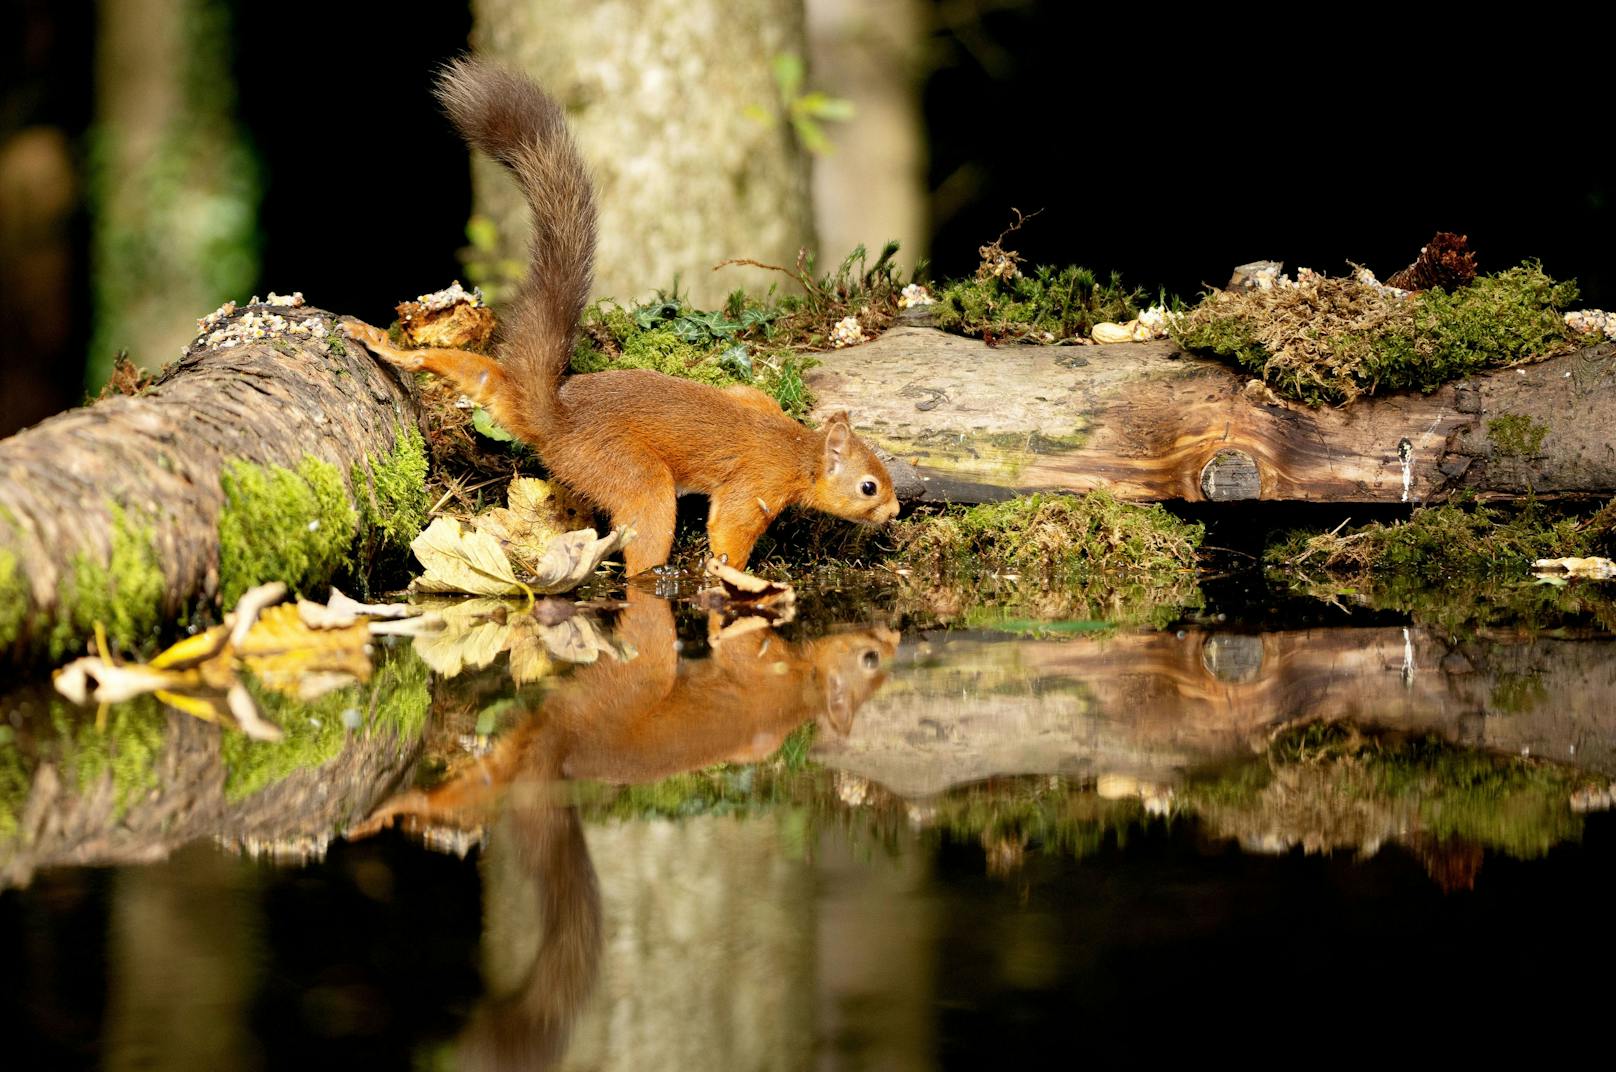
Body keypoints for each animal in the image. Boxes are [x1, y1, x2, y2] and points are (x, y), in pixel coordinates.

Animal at [345, 59, 898, 575]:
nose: (893, 512)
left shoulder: (757, 404)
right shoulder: (756, 483)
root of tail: (556, 422)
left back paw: (383, 344)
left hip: (500, 390)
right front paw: (735, 578)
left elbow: (745, 392)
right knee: (642, 543)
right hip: (635, 478)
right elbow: (729, 531)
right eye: (869, 486)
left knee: (473, 371)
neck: (797, 448)